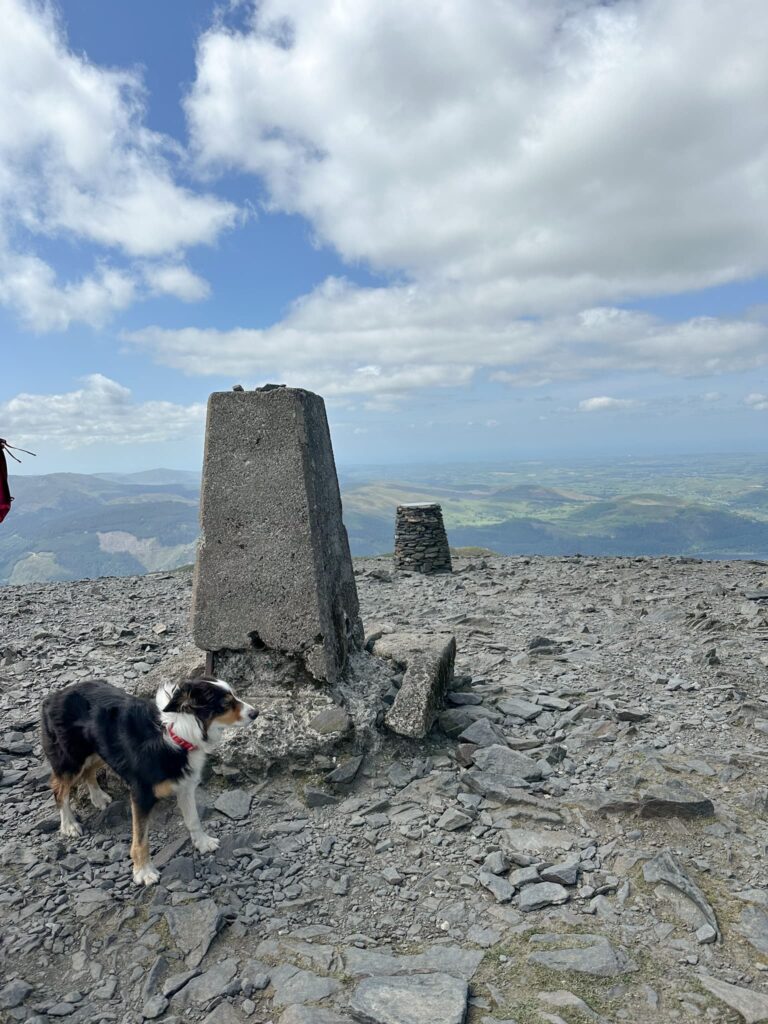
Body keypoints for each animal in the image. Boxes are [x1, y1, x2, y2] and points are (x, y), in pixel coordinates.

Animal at [41, 675, 259, 884]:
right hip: (71, 759)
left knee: (87, 772)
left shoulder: (185, 784)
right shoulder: (141, 794)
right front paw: (143, 872)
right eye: (226, 703)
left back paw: (98, 797)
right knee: (59, 789)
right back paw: (69, 825)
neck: (177, 732)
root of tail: (54, 696)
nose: (256, 713)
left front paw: (203, 842)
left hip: (98, 750)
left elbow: (193, 819)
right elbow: (141, 840)